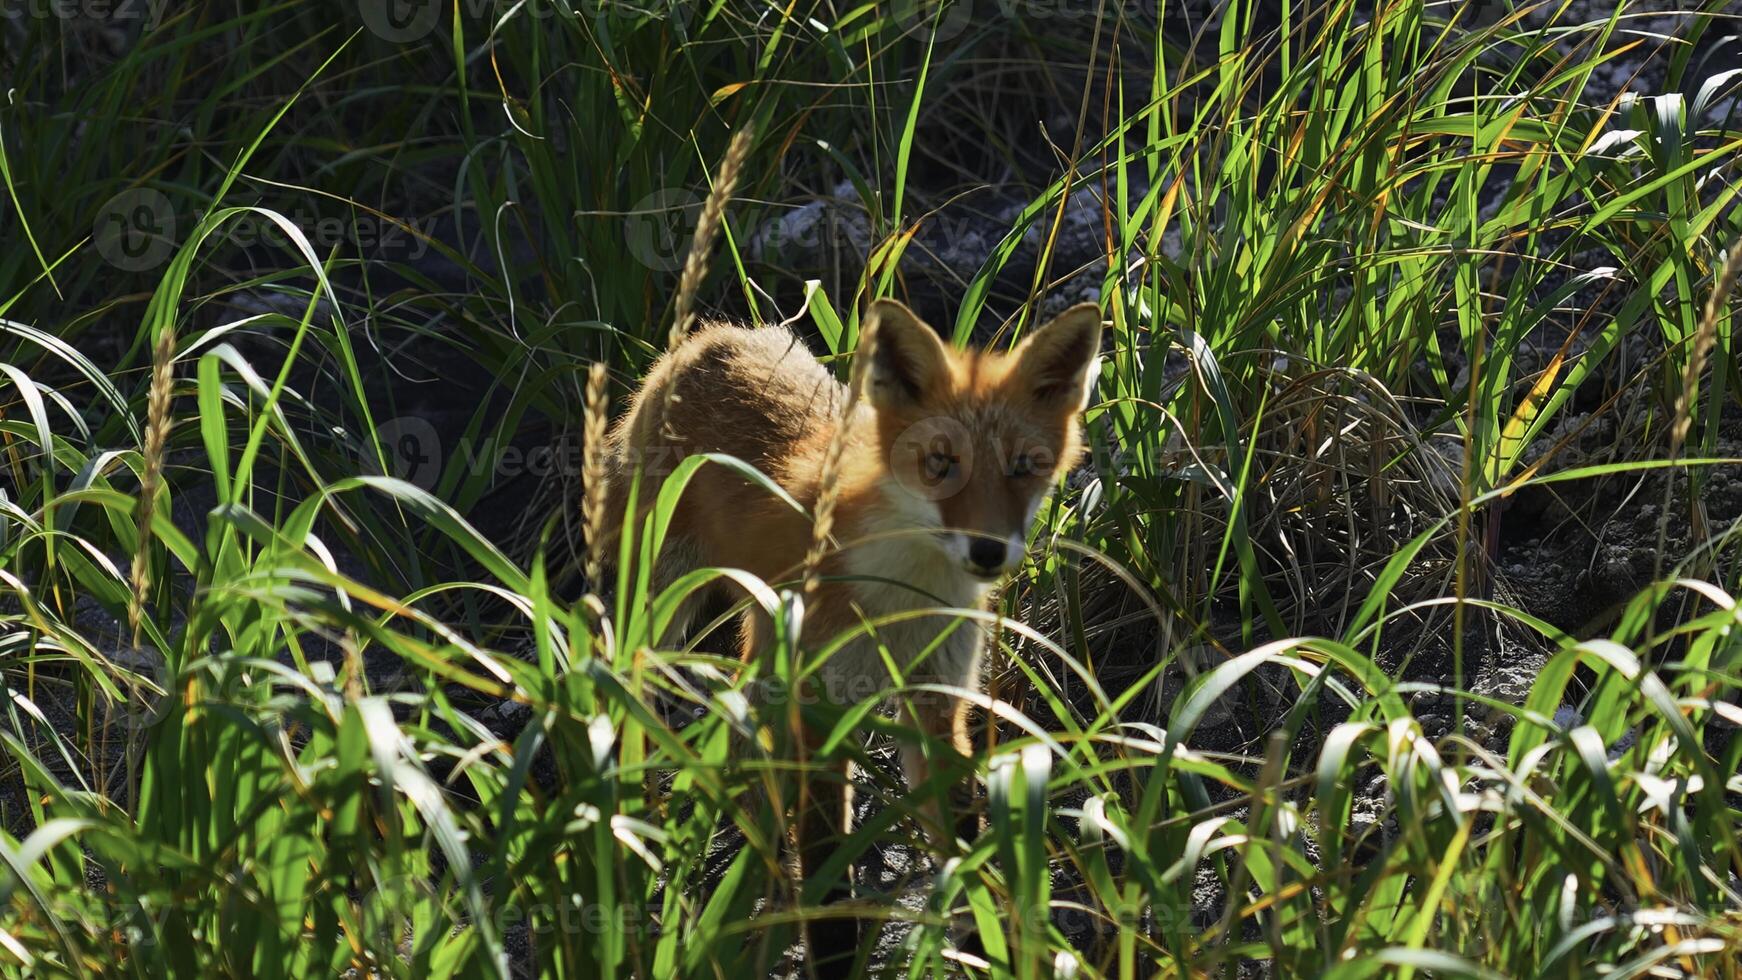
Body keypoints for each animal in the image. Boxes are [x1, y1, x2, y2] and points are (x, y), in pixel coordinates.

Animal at [599, 299, 1100, 953]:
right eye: (941, 463)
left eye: (1024, 467)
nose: (989, 551)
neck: (899, 599)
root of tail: (712, 335)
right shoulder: (821, 711)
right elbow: (827, 871)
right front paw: (830, 947)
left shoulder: (937, 701)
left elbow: (964, 845)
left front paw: (983, 946)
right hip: (665, 608)